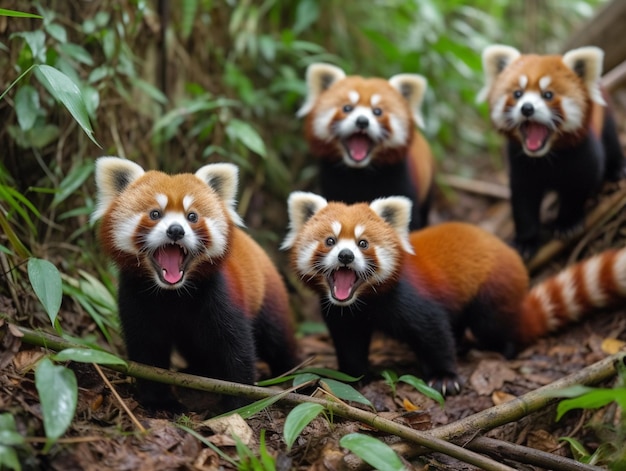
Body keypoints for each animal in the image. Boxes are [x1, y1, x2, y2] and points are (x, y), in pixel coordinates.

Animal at [92, 157, 298, 412]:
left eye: (192, 216)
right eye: (155, 213)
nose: (176, 230)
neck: (173, 293)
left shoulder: (222, 295)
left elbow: (237, 350)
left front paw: (237, 402)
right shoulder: (135, 297)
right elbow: (147, 351)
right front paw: (159, 401)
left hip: (267, 297)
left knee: (277, 340)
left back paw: (294, 374)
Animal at [282, 192, 624, 394]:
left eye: (363, 243)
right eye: (330, 241)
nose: (345, 256)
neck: (364, 301)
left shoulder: (411, 298)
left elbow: (433, 332)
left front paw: (445, 376)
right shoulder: (341, 314)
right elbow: (349, 342)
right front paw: (352, 376)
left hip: (492, 291)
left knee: (494, 325)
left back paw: (502, 347)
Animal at [296, 64, 434, 230]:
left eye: (377, 111)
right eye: (347, 108)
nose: (362, 121)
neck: (360, 174)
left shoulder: (401, 181)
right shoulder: (332, 184)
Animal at [478, 46, 620, 260]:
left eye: (548, 95)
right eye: (518, 93)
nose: (527, 108)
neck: (546, 156)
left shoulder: (584, 155)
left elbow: (579, 185)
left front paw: (567, 223)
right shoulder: (521, 165)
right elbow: (523, 201)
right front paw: (525, 241)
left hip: (606, 116)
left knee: (612, 142)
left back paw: (618, 171)